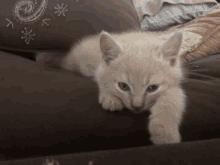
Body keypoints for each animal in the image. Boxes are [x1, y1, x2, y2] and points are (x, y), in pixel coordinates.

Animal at [36, 30, 186, 144]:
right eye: (123, 86)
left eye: (152, 88)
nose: (136, 106)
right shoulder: (99, 69)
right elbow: (101, 80)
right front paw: (111, 98)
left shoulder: (175, 82)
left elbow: (174, 97)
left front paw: (165, 133)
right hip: (73, 62)